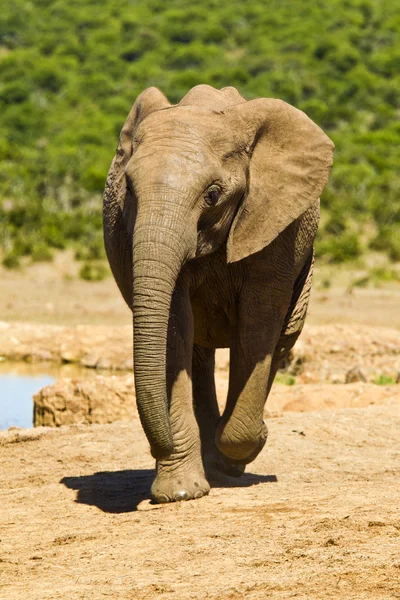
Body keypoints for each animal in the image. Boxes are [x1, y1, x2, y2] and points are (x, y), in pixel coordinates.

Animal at [103, 84, 334, 504]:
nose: (158, 444)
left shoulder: (275, 226)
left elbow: (258, 324)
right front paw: (181, 493)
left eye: (212, 195)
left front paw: (245, 445)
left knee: (282, 339)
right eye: (127, 189)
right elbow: (173, 329)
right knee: (198, 354)